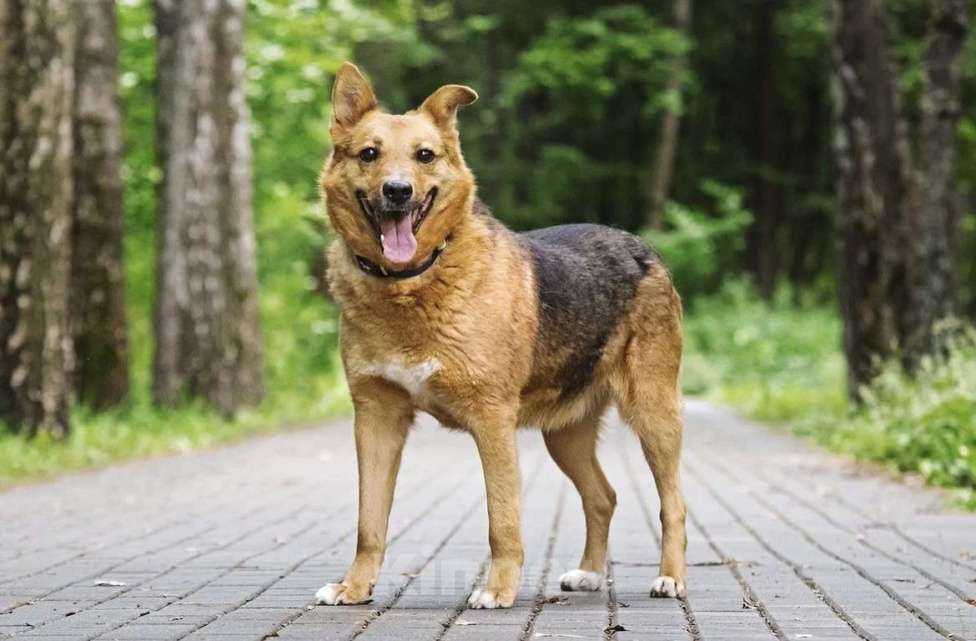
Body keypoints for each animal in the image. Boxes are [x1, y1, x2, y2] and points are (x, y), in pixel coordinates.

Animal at [312, 62, 688, 608]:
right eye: (369, 154)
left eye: (425, 155)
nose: (398, 191)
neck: (412, 282)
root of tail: (641, 246)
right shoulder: (376, 419)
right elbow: (370, 522)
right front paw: (355, 587)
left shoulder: (492, 419)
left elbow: (502, 518)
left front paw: (498, 589)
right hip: (564, 435)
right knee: (603, 496)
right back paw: (590, 573)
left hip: (653, 414)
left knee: (672, 502)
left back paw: (671, 577)